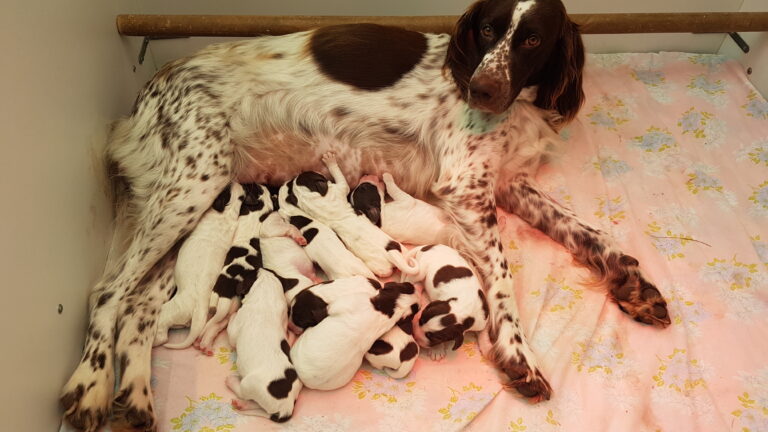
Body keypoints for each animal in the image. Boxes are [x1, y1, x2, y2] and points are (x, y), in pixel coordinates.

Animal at [153, 183, 243, 347]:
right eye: (241, 198)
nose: (234, 182)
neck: (227, 212)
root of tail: (200, 309)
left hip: (171, 310)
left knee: (163, 333)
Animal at [225, 268, 301, 423]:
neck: (266, 292)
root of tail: (287, 407)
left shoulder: (234, 331)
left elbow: (231, 330)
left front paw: (232, 314)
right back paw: (241, 405)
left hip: (248, 385)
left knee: (243, 392)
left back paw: (231, 382)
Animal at [286, 152, 418, 277]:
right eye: (364, 188)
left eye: (301, 176)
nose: (366, 174)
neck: (312, 200)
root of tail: (392, 255)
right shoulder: (341, 188)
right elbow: (340, 176)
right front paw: (330, 160)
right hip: (401, 251)